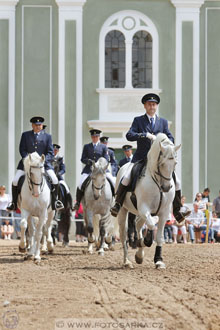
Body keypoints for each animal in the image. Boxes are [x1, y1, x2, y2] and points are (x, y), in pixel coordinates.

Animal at [117, 133, 180, 270]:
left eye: (175, 163)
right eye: (161, 163)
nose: (167, 188)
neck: (158, 182)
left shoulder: (163, 213)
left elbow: (160, 236)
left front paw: (159, 260)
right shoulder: (144, 209)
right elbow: (151, 226)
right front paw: (144, 242)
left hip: (140, 214)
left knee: (137, 224)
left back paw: (139, 254)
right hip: (123, 210)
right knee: (124, 235)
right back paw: (127, 261)